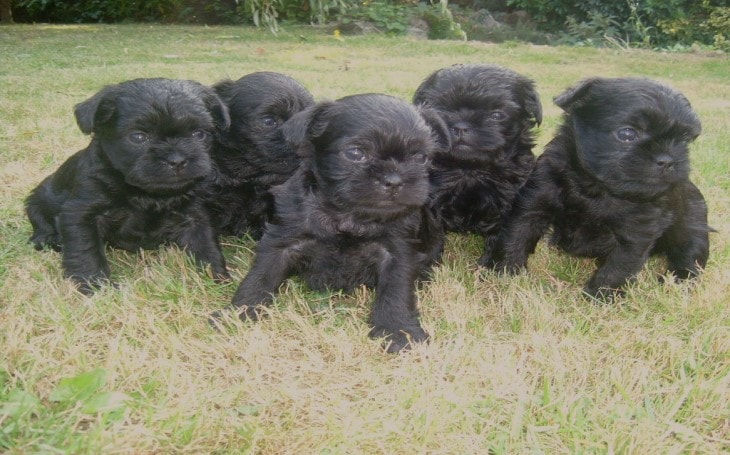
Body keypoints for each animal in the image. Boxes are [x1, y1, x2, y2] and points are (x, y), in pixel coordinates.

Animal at [25, 78, 230, 294]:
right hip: (37, 198)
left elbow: (205, 245)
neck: (149, 194)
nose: (177, 160)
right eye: (138, 137)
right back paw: (46, 240)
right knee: (40, 222)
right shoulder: (80, 214)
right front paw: (95, 286)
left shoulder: (195, 217)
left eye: (199, 134)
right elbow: (85, 251)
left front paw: (217, 279)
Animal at [216, 94, 446, 354]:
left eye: (421, 158)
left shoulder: (398, 254)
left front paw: (398, 330)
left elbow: (396, 293)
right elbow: (259, 277)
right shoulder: (281, 243)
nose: (394, 180)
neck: (348, 216)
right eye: (356, 153)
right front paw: (238, 312)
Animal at [410, 62, 540, 266]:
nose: (461, 126)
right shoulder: (430, 202)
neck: (470, 169)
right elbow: (431, 234)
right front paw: (427, 264)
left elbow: (504, 236)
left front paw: (496, 266)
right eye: (440, 111)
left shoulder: (509, 202)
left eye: (497, 115)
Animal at [486, 78, 708, 300]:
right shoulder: (535, 202)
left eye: (684, 140)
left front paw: (600, 297)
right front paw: (505, 274)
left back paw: (679, 280)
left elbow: (618, 266)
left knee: (690, 255)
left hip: (692, 227)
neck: (594, 188)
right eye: (627, 133)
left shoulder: (636, 233)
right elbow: (516, 236)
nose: (668, 160)